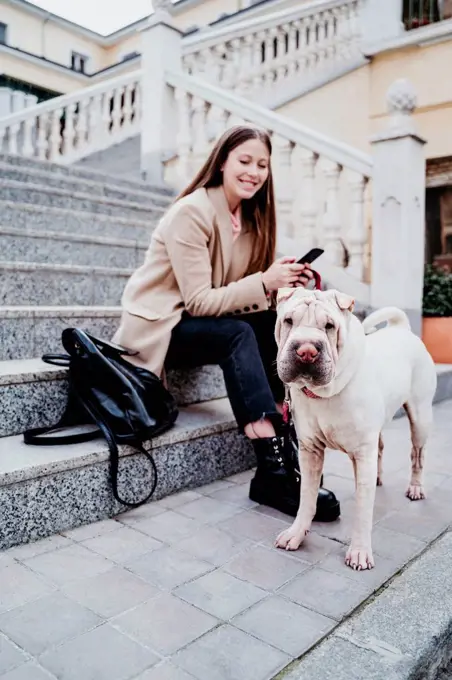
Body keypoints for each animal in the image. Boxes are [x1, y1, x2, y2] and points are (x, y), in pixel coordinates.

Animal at [274, 290, 436, 572]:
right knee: (381, 448)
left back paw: (415, 488)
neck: (325, 393)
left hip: (420, 418)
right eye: (288, 321)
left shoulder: (362, 454)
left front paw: (360, 552)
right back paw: (380, 477)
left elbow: (363, 510)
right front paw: (296, 534)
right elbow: (306, 498)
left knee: (417, 454)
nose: (306, 350)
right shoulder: (309, 451)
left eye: (329, 326)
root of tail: (402, 329)